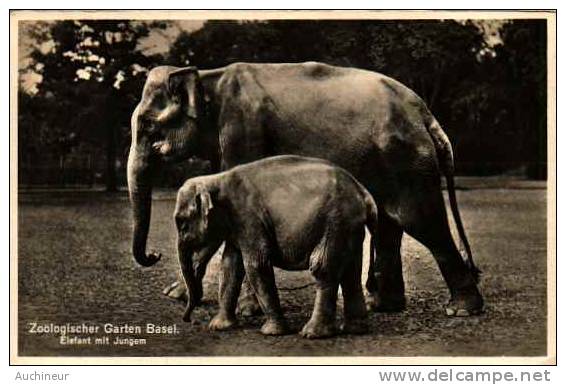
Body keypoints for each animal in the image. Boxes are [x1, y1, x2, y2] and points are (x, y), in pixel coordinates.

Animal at [127, 62, 484, 316]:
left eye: (148, 126)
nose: (154, 255)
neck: (208, 75)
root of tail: (424, 111)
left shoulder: (243, 130)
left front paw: (247, 311)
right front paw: (177, 294)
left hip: (406, 158)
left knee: (419, 220)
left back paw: (461, 310)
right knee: (388, 223)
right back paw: (383, 306)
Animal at [175, 154, 380, 338]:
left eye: (182, 223)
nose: (188, 319)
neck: (216, 179)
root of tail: (365, 194)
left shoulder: (249, 217)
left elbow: (256, 264)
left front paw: (272, 332)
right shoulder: (238, 226)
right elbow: (230, 266)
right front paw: (219, 327)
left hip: (336, 222)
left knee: (323, 268)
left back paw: (312, 334)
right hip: (349, 228)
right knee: (351, 272)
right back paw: (355, 330)